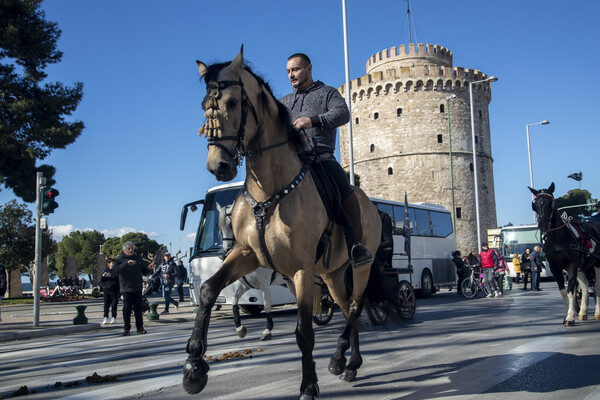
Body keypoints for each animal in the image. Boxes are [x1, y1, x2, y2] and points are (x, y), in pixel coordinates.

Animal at [180, 47, 382, 400]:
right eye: (206, 106)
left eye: (231, 102)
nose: (218, 166)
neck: (271, 191)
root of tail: (371, 204)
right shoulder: (246, 254)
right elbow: (208, 290)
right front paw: (194, 365)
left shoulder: (300, 269)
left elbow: (304, 332)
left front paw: (308, 386)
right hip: (331, 274)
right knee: (347, 309)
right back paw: (349, 363)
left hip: (360, 266)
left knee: (356, 307)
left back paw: (341, 358)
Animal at [528, 183, 600, 326]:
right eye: (535, 204)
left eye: (551, 203)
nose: (542, 224)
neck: (558, 239)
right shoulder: (556, 268)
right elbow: (563, 291)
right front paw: (567, 315)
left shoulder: (572, 265)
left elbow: (570, 290)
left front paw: (570, 317)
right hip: (581, 268)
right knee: (585, 285)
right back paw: (583, 312)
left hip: (597, 264)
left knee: (597, 286)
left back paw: (597, 312)